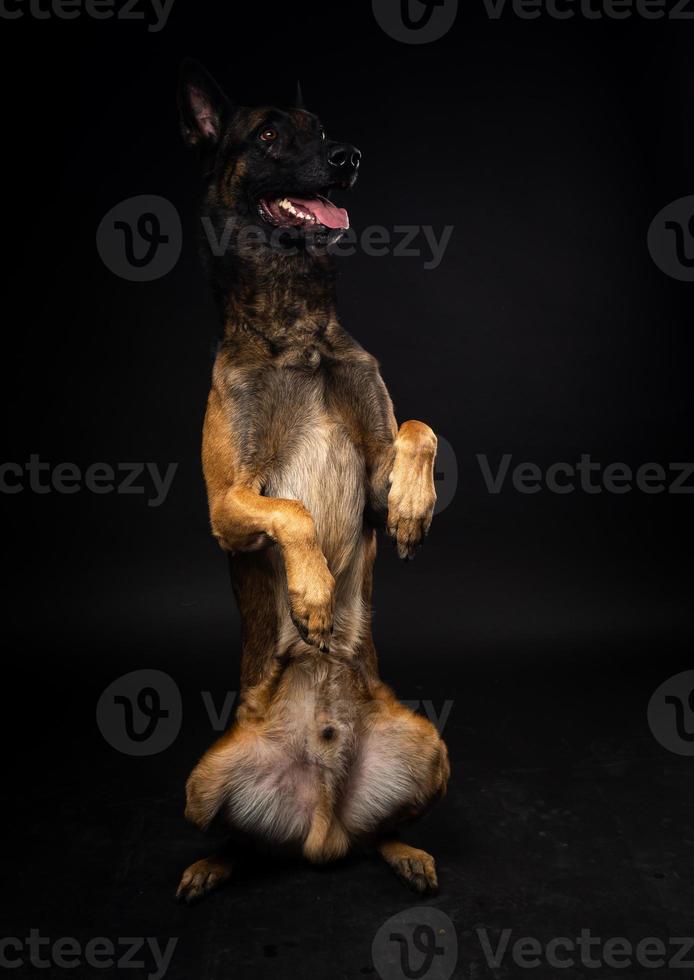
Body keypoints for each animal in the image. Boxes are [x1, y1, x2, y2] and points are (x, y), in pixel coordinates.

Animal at [175, 59, 452, 904]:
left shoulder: (374, 468)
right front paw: (314, 596)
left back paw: (403, 853)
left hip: (430, 742)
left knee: (374, 832)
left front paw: (415, 510)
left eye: (323, 130)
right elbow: (291, 508)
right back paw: (210, 866)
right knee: (243, 840)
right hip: (200, 781)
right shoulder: (226, 505)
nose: (348, 158)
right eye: (269, 134)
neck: (295, 329)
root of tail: (321, 828)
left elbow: (418, 429)